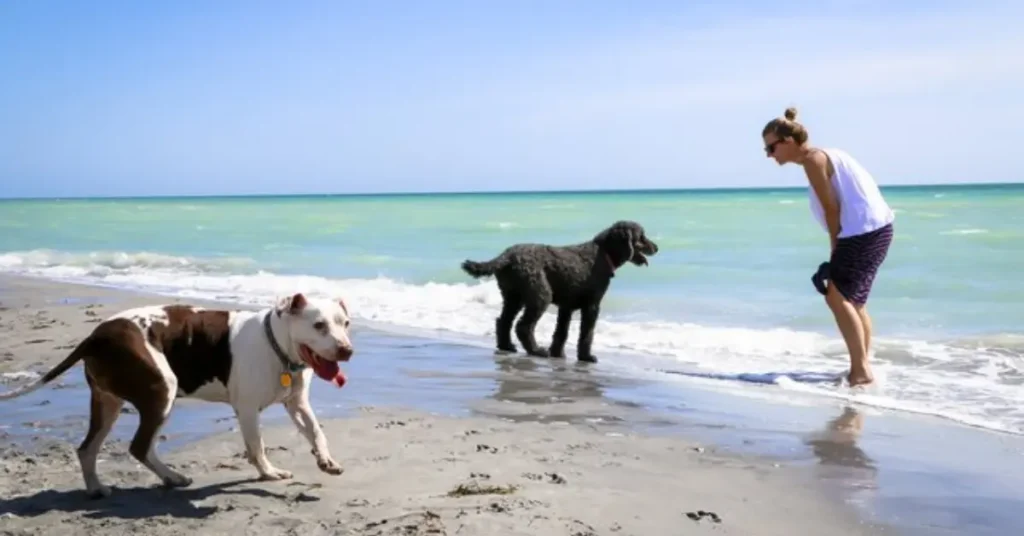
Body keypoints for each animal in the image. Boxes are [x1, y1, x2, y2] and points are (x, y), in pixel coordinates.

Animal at [0, 293, 352, 500]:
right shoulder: (249, 409)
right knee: (140, 446)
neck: (278, 345)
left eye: (345, 323)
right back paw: (171, 476)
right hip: (161, 389)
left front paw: (326, 461)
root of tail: (96, 335)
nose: (346, 350)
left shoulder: (298, 404)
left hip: (107, 402)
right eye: (319, 325)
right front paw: (269, 473)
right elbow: (257, 446)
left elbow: (317, 432)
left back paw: (98, 488)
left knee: (88, 448)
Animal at [462, 220, 659, 362]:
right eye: (641, 236)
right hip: (540, 295)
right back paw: (536, 350)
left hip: (513, 297)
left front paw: (558, 353)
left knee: (503, 321)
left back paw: (507, 346)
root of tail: (507, 256)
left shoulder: (566, 307)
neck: (601, 254)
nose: (656, 248)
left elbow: (561, 332)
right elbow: (587, 333)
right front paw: (586, 357)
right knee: (523, 326)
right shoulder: (592, 306)